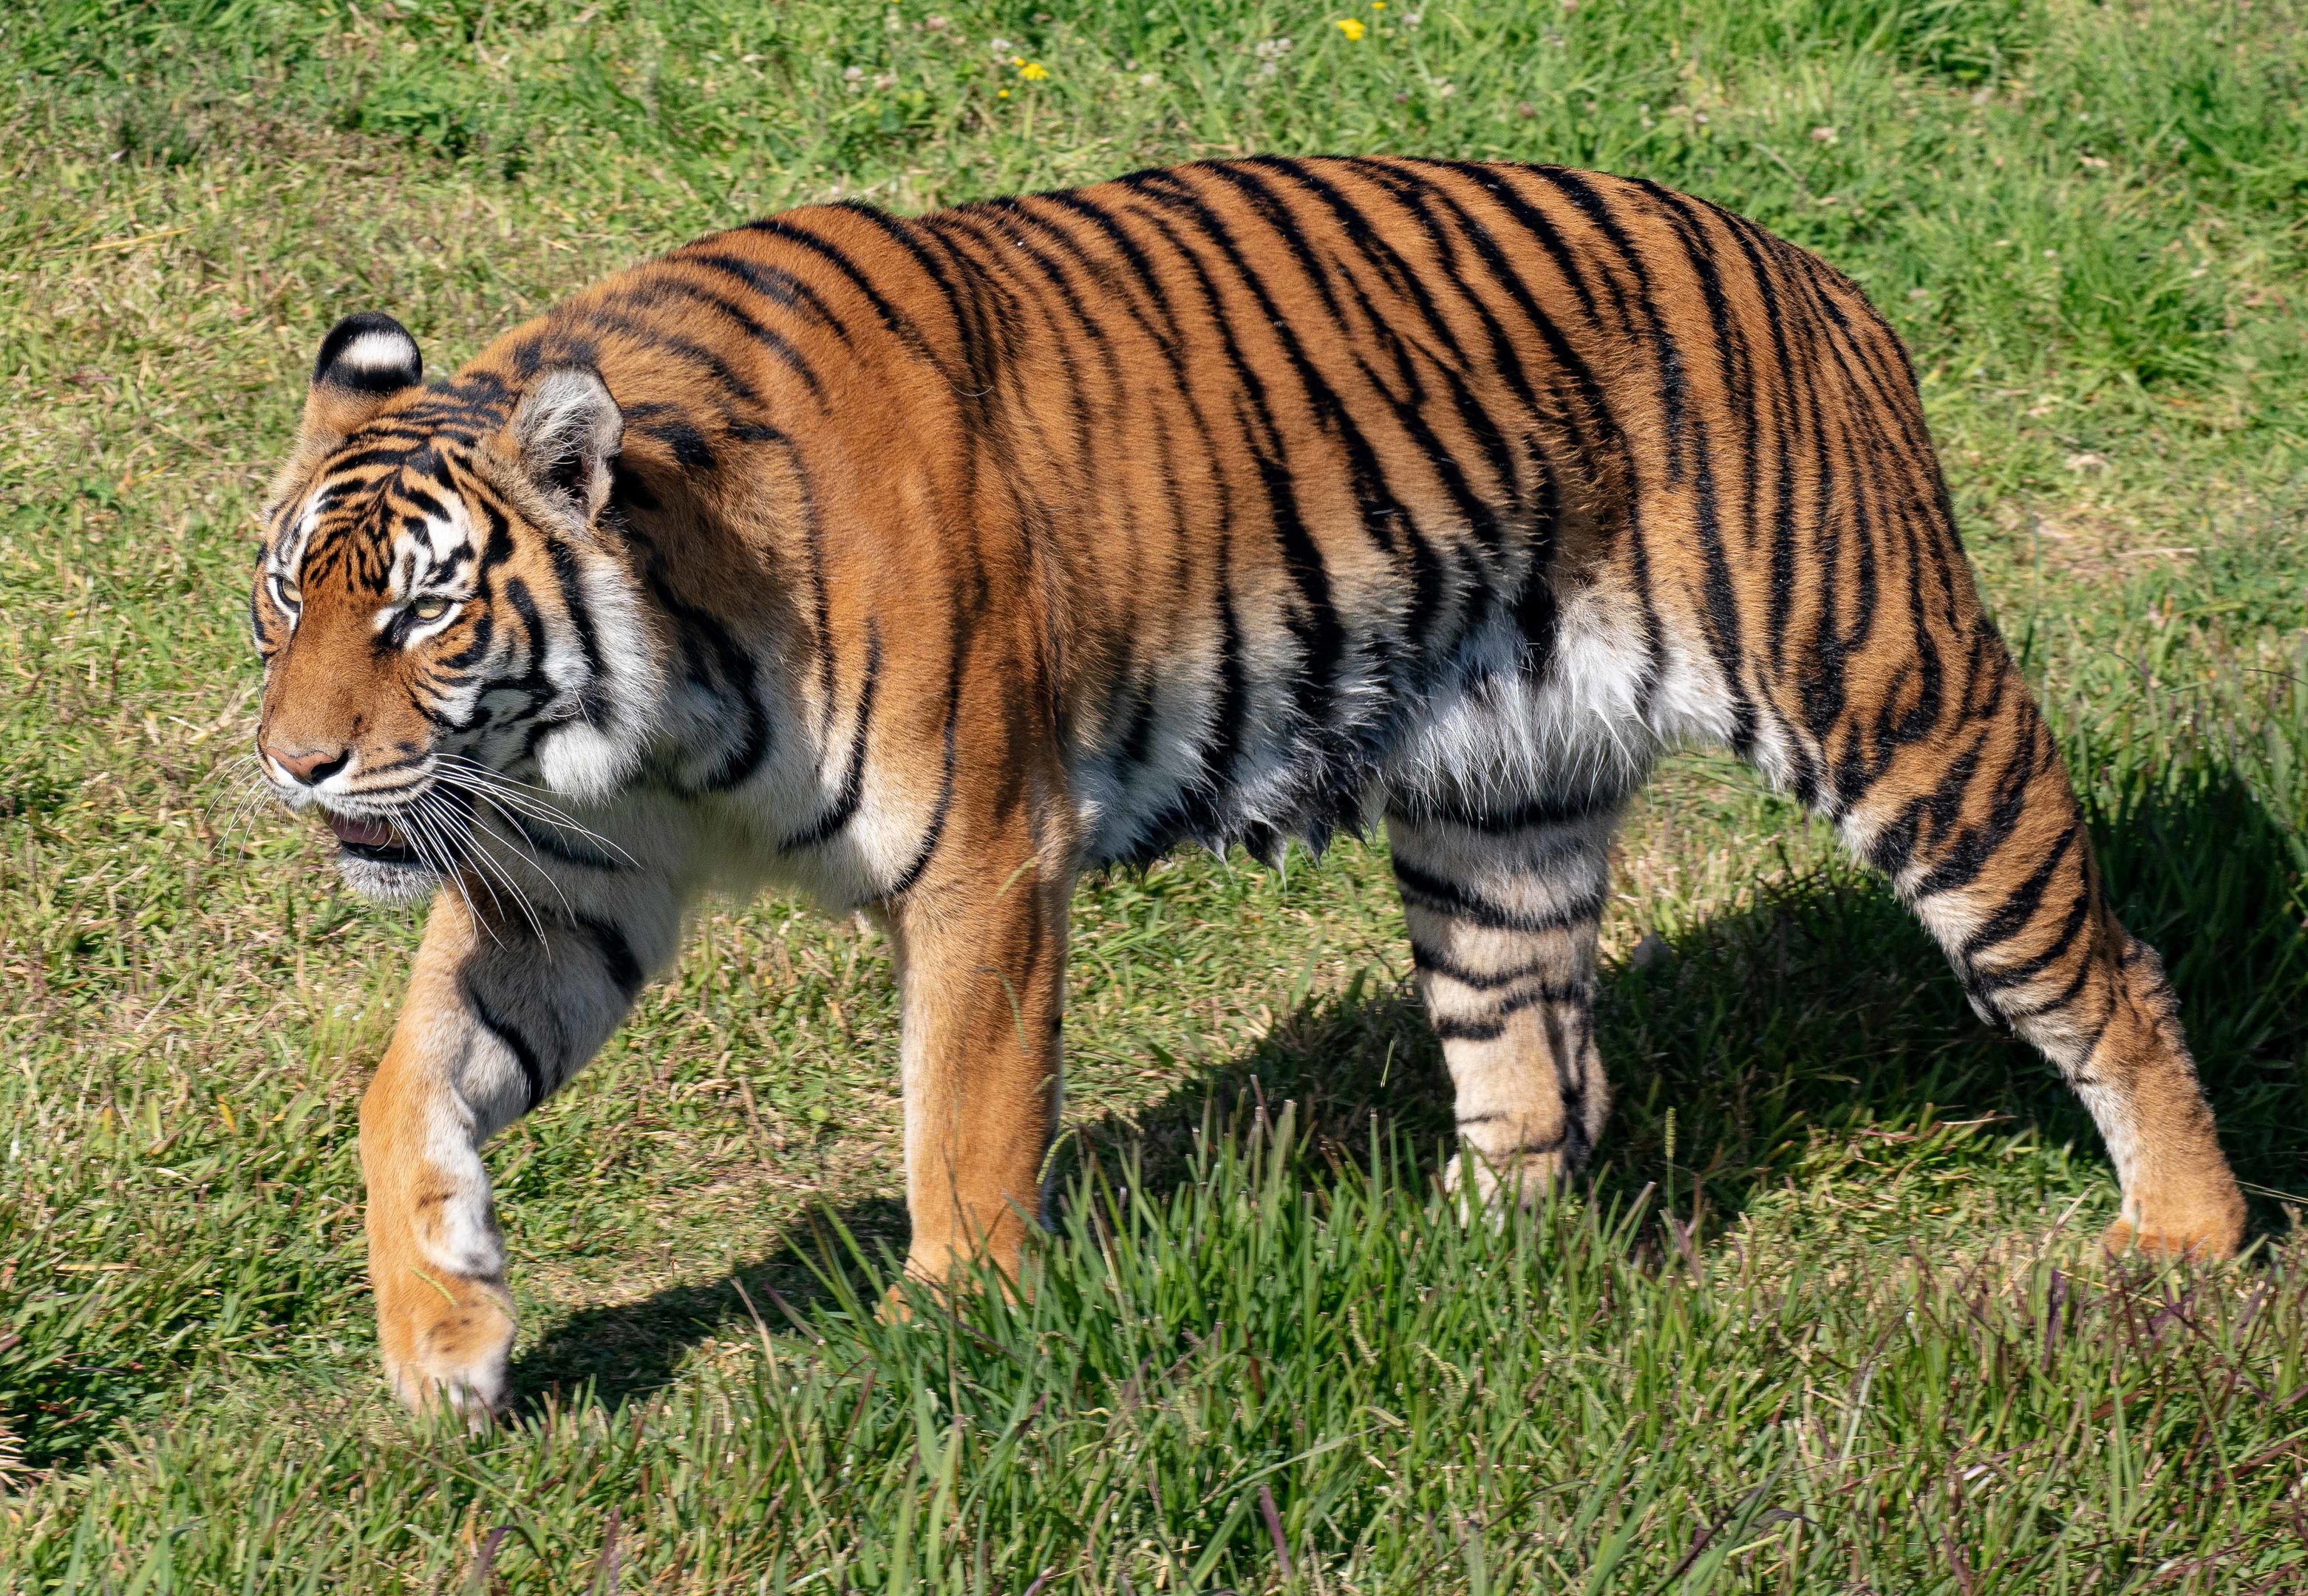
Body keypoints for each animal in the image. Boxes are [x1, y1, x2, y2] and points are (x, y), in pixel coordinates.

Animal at [249, 156, 2247, 1417]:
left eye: (423, 608)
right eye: (287, 597)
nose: (298, 760)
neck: (641, 710)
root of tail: (1815, 274)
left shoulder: (988, 859)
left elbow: (963, 1122)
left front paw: (946, 1340)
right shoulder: (566, 879)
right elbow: (402, 1082)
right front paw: (444, 1346)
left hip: (1891, 705)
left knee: (2106, 964)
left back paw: (2181, 1244)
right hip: (1496, 819)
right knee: (1535, 1076)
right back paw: (1457, 1278)